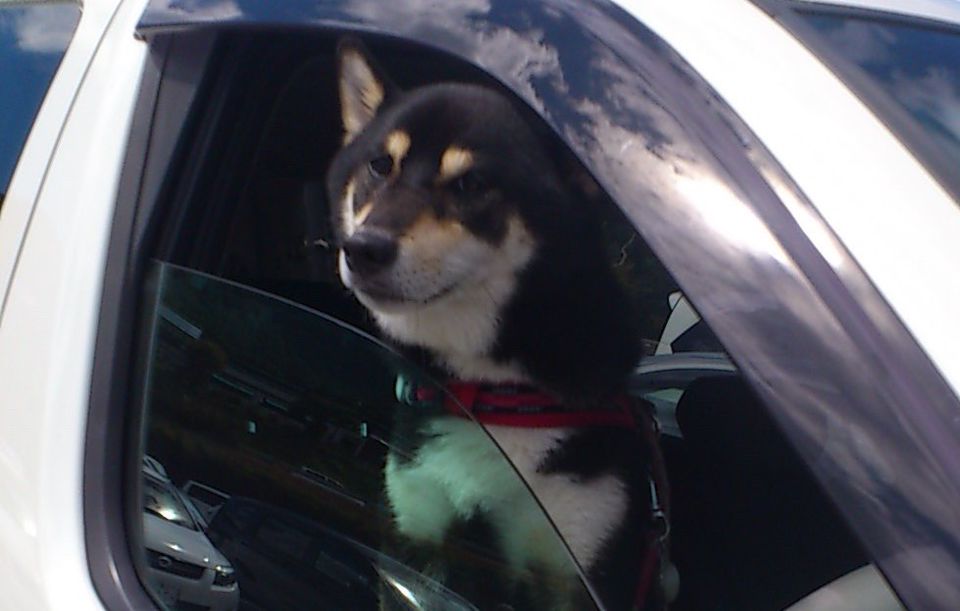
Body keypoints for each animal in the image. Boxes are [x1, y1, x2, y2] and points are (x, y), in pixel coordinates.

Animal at [326, 39, 668, 610]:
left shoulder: (580, 567)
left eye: (471, 182)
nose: (363, 249)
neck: (493, 393)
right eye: (380, 165)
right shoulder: (416, 537)